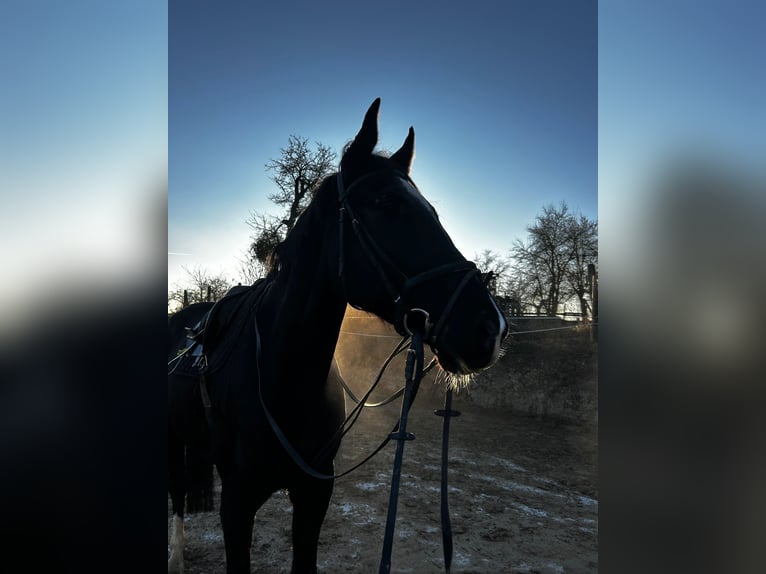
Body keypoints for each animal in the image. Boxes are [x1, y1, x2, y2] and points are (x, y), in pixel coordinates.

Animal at [167, 98, 509, 574]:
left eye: (434, 212)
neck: (284, 375)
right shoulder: (237, 504)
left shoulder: (315, 495)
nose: (490, 327)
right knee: (177, 492)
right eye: (385, 203)